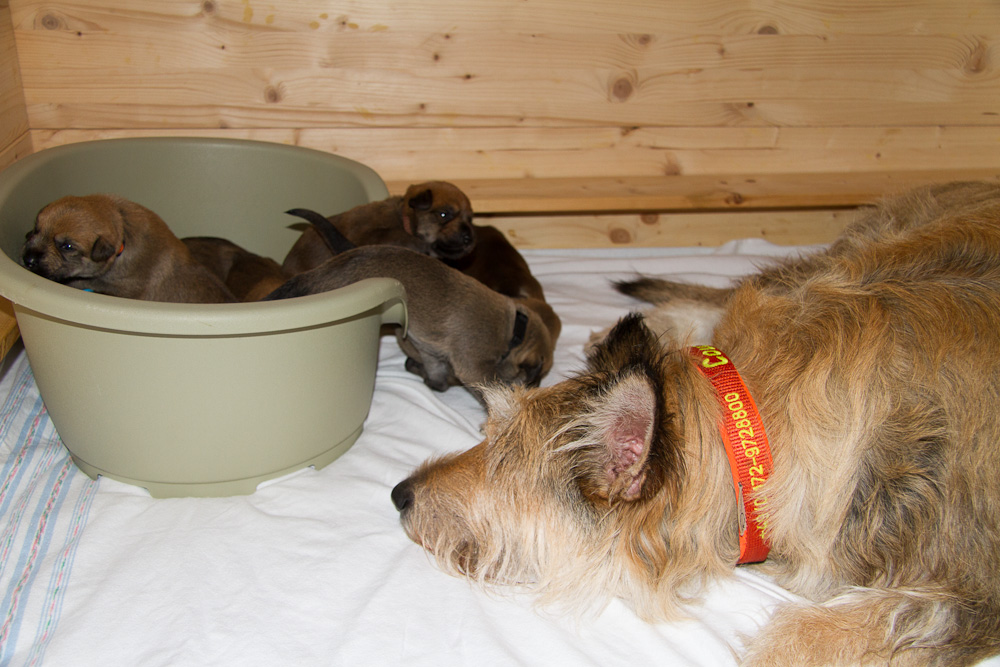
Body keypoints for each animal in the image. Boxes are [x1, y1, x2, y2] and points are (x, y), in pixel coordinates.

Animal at [266, 245, 556, 392]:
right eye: (535, 376)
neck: (513, 331)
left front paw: (424, 376)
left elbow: (436, 378)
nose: (535, 387)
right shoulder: (473, 367)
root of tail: (317, 273)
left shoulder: (431, 352)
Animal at [389, 181, 1000, 666]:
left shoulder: (967, 594)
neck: (755, 430)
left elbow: (803, 640)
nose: (399, 494)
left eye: (504, 461)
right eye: (489, 436)